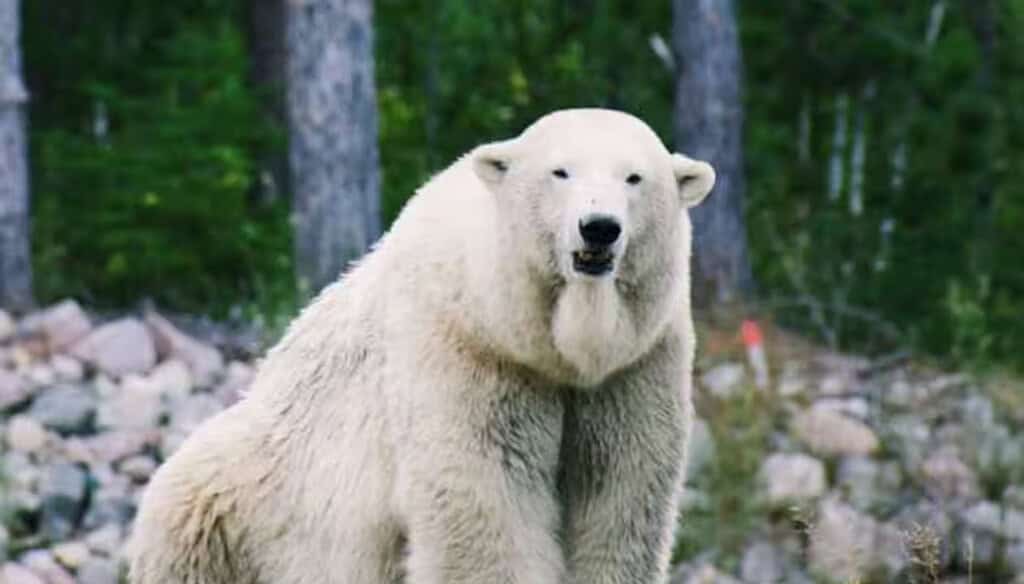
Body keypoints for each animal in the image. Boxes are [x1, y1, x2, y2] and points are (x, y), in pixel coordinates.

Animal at [128, 107, 716, 577]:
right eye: (561, 171)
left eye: (634, 177)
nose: (599, 227)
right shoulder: (467, 352)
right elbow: (485, 500)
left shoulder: (633, 368)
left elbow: (619, 496)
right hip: (233, 512)